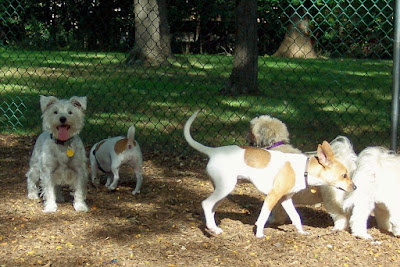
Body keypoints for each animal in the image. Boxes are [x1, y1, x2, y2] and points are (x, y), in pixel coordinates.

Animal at [184, 111, 356, 239]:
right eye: (344, 175)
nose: (355, 187)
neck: (304, 169)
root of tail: (213, 151)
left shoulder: (286, 199)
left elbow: (296, 217)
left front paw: (301, 232)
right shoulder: (273, 196)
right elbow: (263, 217)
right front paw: (260, 234)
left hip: (223, 190)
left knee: (211, 208)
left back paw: (214, 228)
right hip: (225, 187)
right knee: (206, 204)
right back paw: (212, 229)